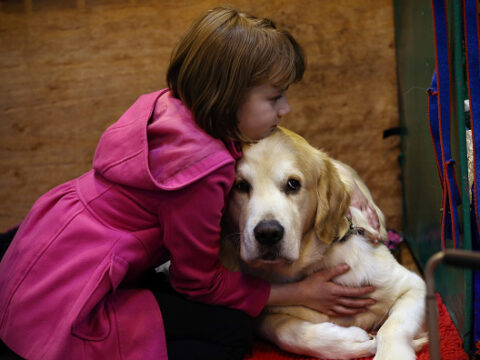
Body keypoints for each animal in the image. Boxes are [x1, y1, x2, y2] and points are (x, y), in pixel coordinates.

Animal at [221, 127, 428, 360]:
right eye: (241, 185)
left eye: (293, 184)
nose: (267, 233)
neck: (310, 264)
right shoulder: (264, 313)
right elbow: (284, 331)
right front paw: (353, 342)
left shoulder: (412, 285)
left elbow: (393, 326)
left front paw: (392, 353)